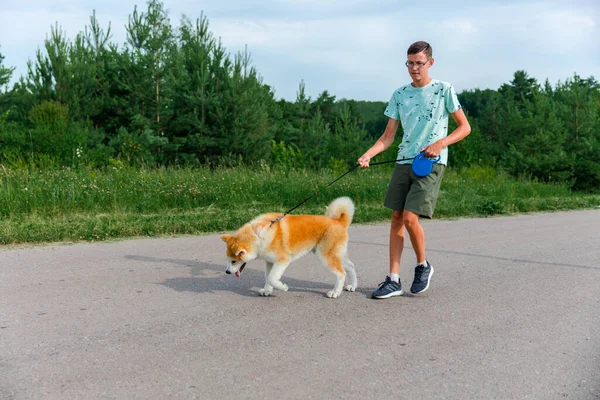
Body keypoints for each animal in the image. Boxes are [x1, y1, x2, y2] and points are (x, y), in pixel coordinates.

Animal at [221, 198, 356, 298]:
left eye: (234, 261)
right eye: (228, 260)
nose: (227, 272)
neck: (259, 235)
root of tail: (339, 221)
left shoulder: (283, 260)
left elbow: (272, 278)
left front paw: (283, 287)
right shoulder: (270, 261)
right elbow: (267, 277)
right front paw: (267, 290)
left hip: (325, 256)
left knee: (341, 273)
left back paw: (335, 292)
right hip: (336, 254)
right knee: (350, 266)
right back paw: (352, 286)